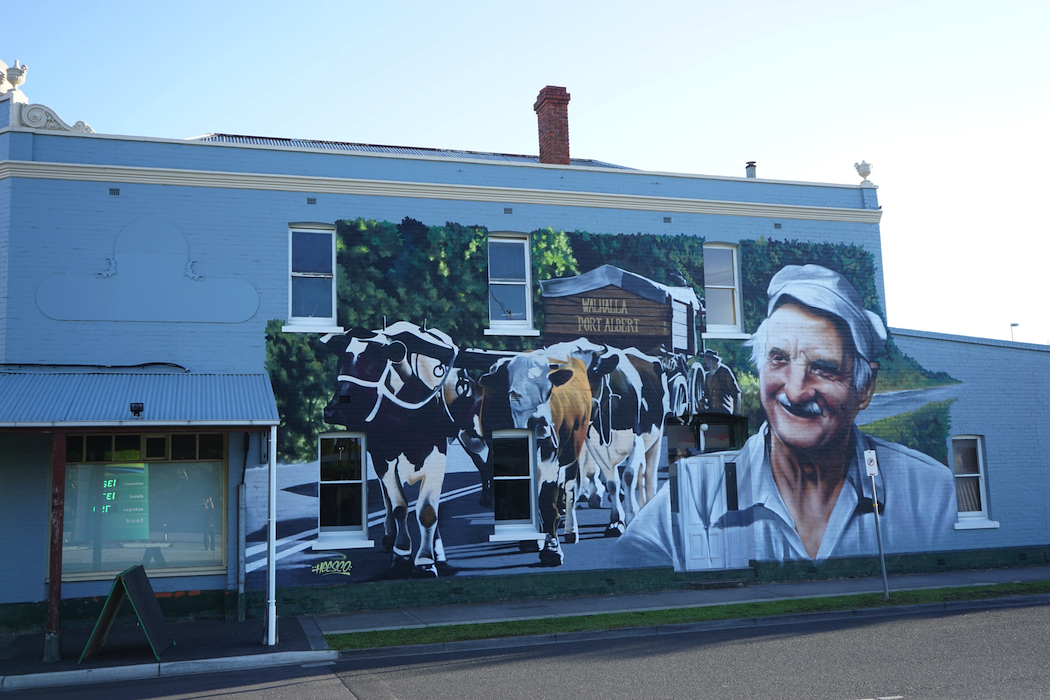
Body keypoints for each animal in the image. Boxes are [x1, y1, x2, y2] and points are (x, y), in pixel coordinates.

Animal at [323, 321, 480, 579]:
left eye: (375, 362)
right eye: (340, 361)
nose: (334, 410)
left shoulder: (437, 452)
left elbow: (428, 511)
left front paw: (426, 562)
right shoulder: (381, 454)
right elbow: (399, 507)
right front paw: (401, 554)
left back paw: (439, 554)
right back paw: (390, 537)